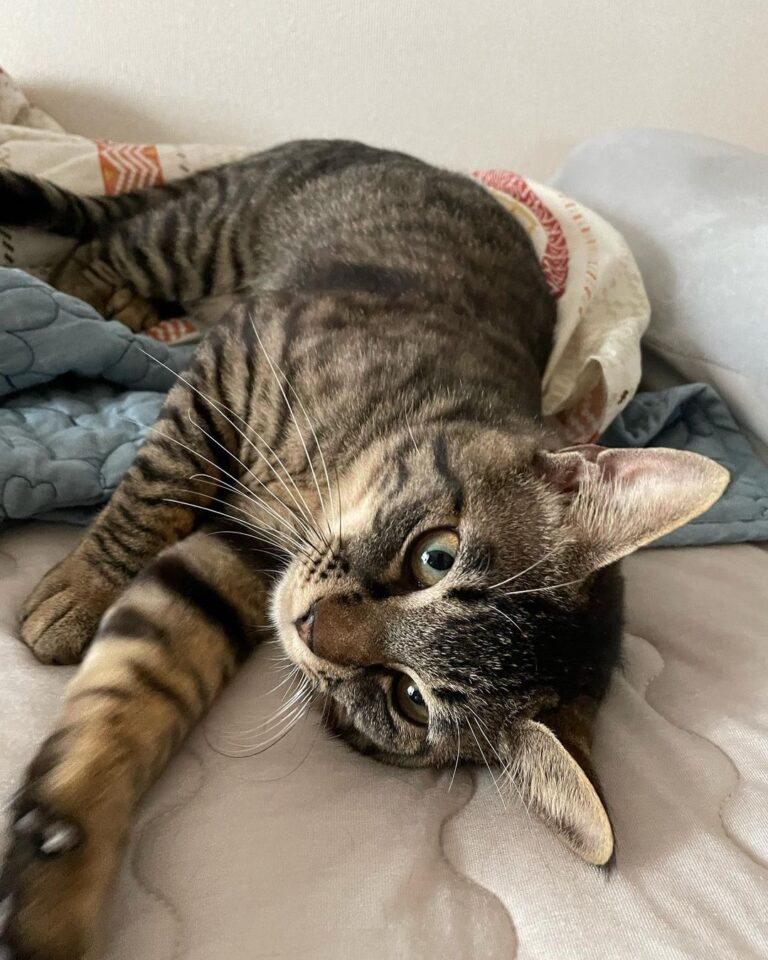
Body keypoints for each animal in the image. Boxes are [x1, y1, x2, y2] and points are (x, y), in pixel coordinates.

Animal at [0, 140, 728, 960]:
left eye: (407, 699)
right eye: (435, 555)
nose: (311, 626)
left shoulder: (238, 564)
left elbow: (134, 690)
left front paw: (60, 867)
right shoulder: (241, 358)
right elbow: (160, 481)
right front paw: (83, 587)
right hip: (202, 239)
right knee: (101, 245)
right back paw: (97, 299)